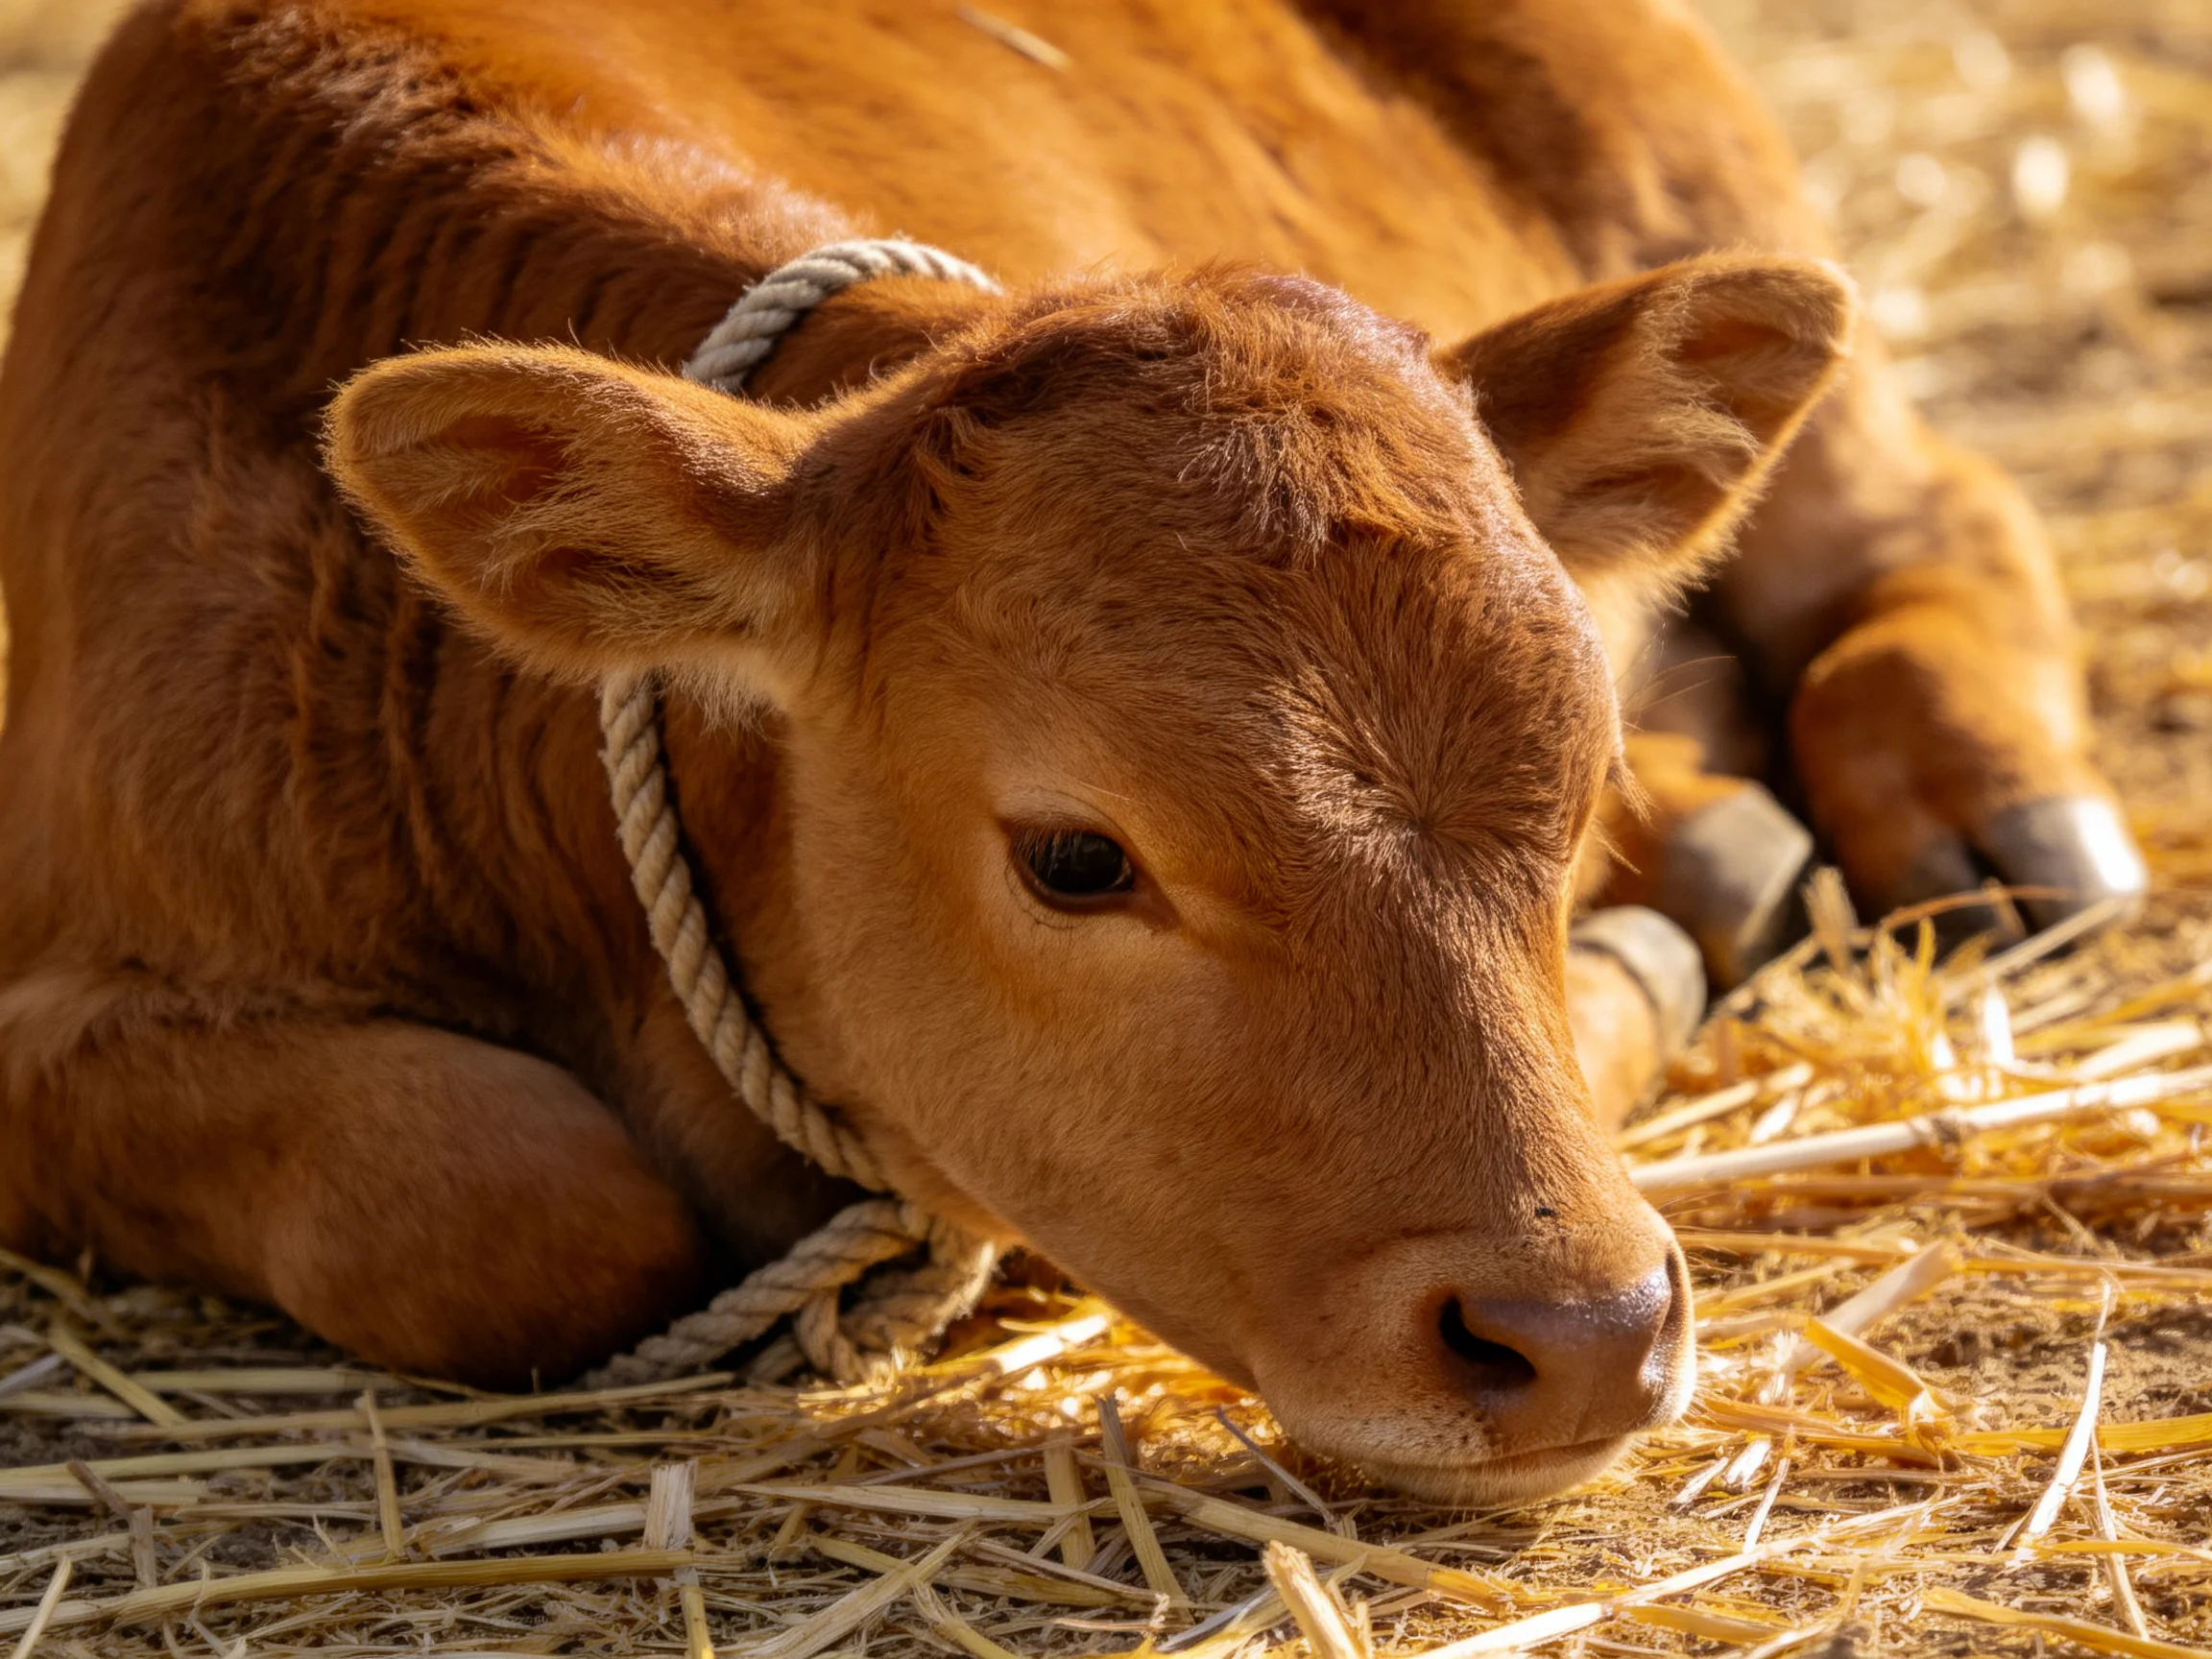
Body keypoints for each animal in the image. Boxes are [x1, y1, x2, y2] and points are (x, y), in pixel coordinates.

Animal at [0, 0, 2141, 1505]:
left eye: (1568, 783)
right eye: (1076, 856)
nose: (1587, 1335)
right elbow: (488, 1197)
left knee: (1932, 512)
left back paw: (2000, 821)